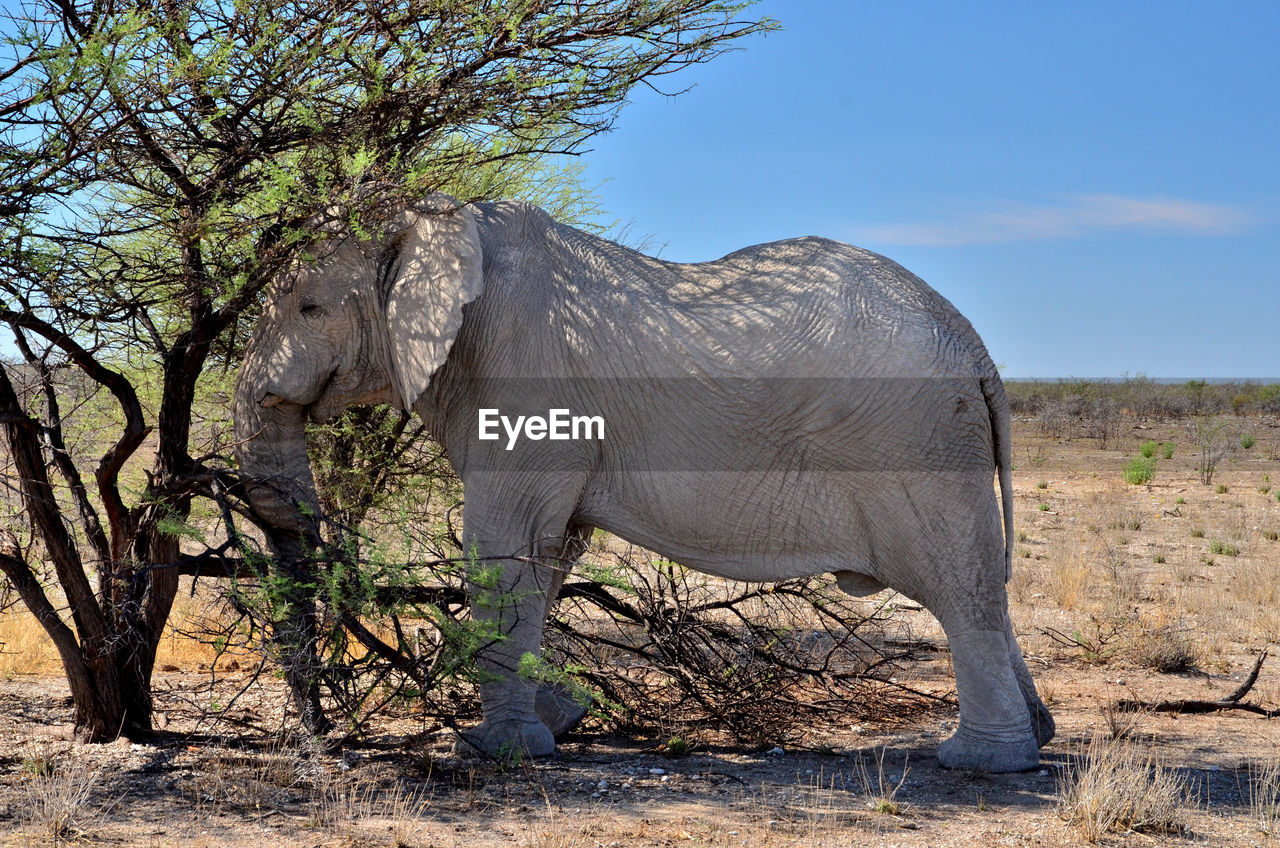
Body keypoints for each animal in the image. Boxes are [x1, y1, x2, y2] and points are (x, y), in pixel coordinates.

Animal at [235, 194, 1054, 778]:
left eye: (308, 306)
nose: (321, 741)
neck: (437, 219)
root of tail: (975, 347)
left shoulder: (523, 380)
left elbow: (506, 545)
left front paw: (496, 751)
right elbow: (550, 551)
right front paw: (560, 720)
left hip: (914, 444)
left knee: (958, 588)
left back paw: (985, 760)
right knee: (983, 584)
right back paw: (1037, 738)